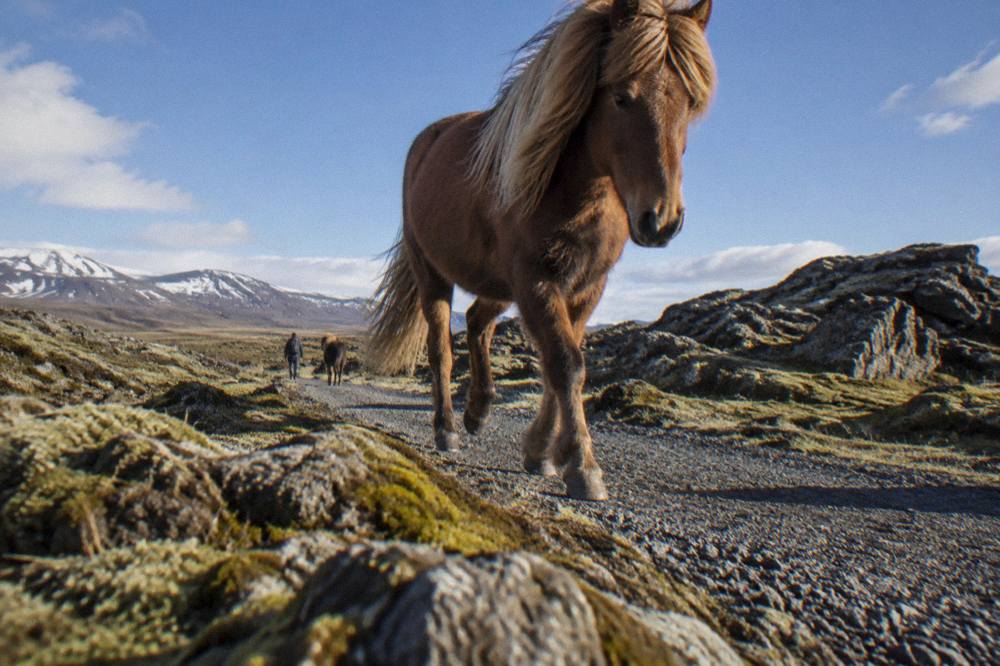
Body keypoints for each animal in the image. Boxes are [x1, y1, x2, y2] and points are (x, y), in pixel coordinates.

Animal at [367, 0, 716, 501]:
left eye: (689, 103)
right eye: (621, 97)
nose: (662, 219)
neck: (577, 189)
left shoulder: (586, 286)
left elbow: (563, 364)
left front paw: (541, 452)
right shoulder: (535, 279)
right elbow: (565, 364)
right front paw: (583, 467)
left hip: (498, 283)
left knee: (478, 323)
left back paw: (479, 410)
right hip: (433, 273)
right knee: (440, 349)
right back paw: (447, 428)